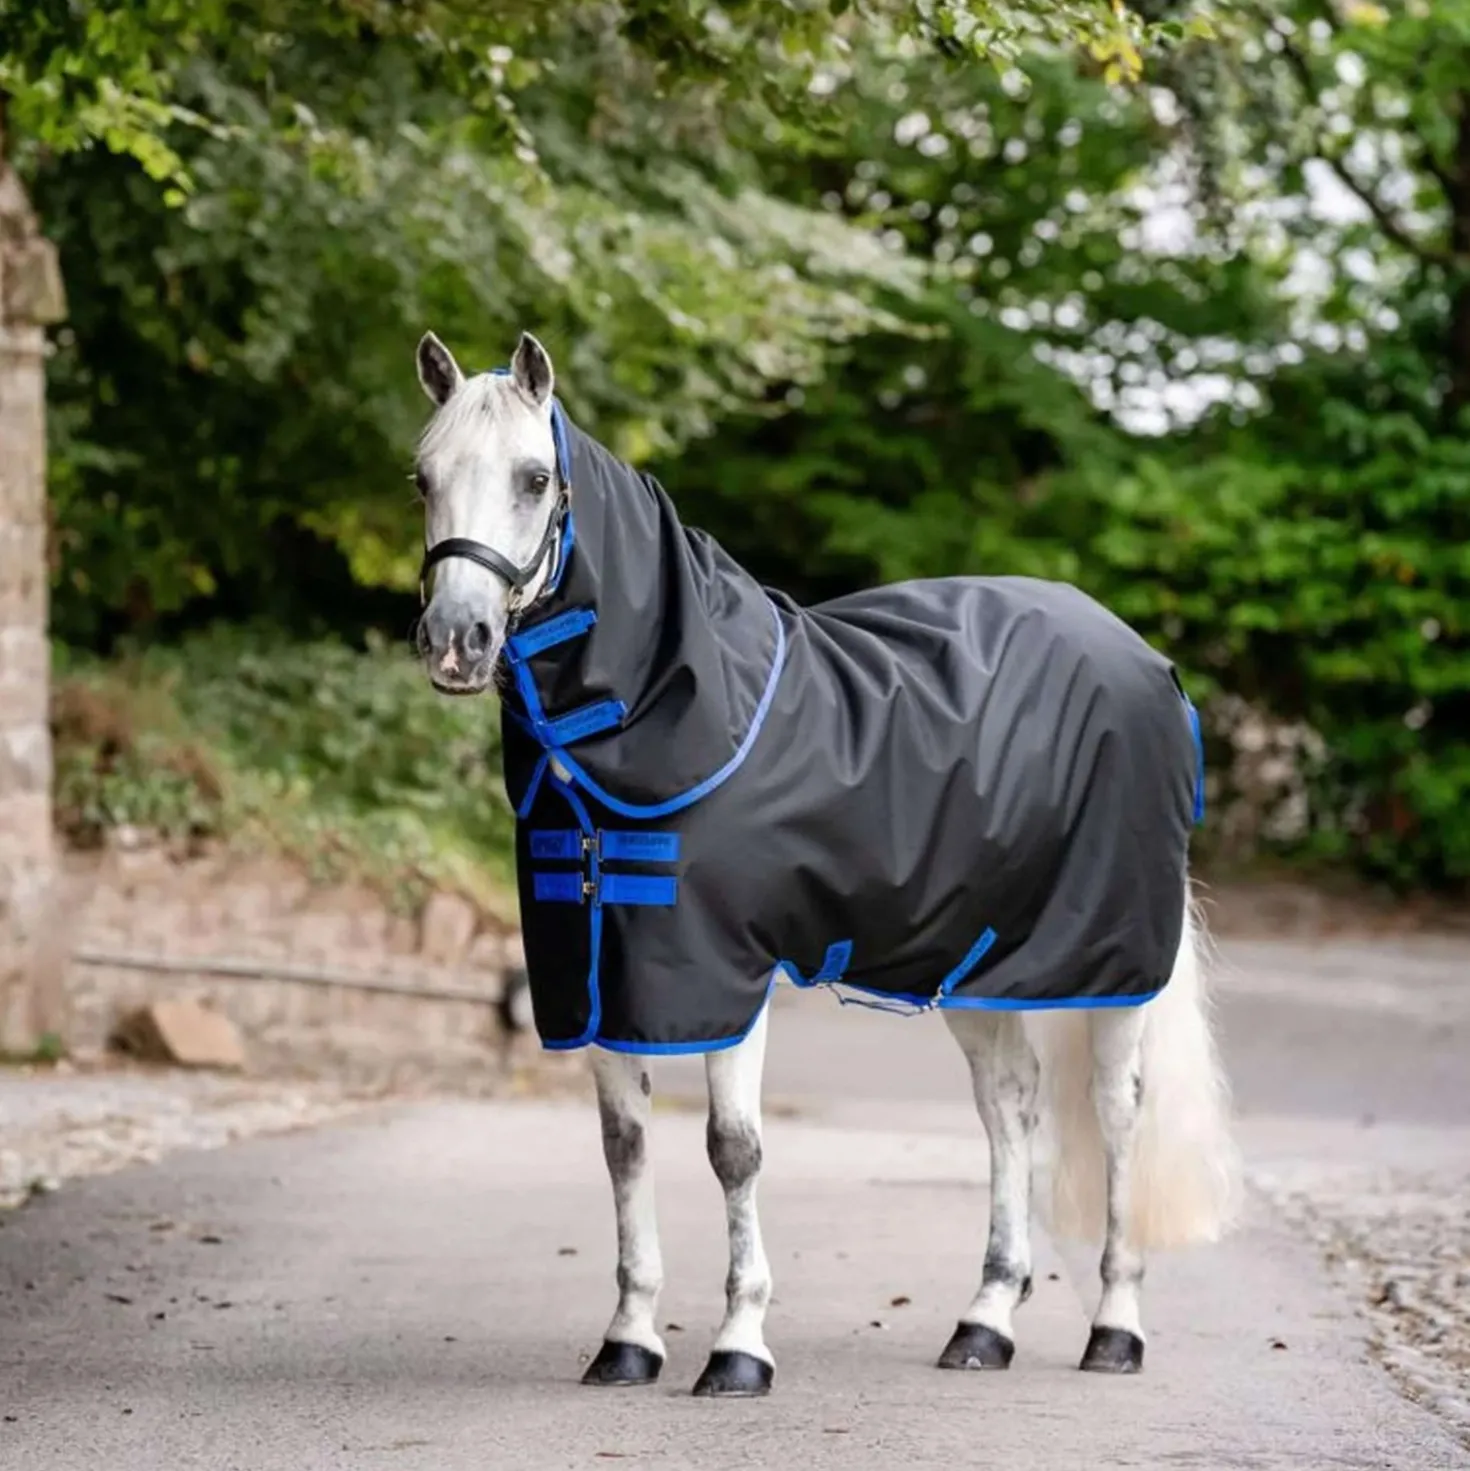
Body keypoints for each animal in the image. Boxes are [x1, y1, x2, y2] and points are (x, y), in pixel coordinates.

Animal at [409, 329, 1240, 1398]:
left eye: (534, 476)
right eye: (422, 476)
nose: (456, 642)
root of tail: (1149, 663)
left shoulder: (726, 973)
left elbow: (733, 1149)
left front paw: (739, 1346)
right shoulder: (598, 973)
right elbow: (624, 1148)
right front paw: (628, 1339)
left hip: (1115, 961)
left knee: (1119, 1112)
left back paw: (1116, 1327)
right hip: (974, 960)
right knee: (1008, 1106)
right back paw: (984, 1321)